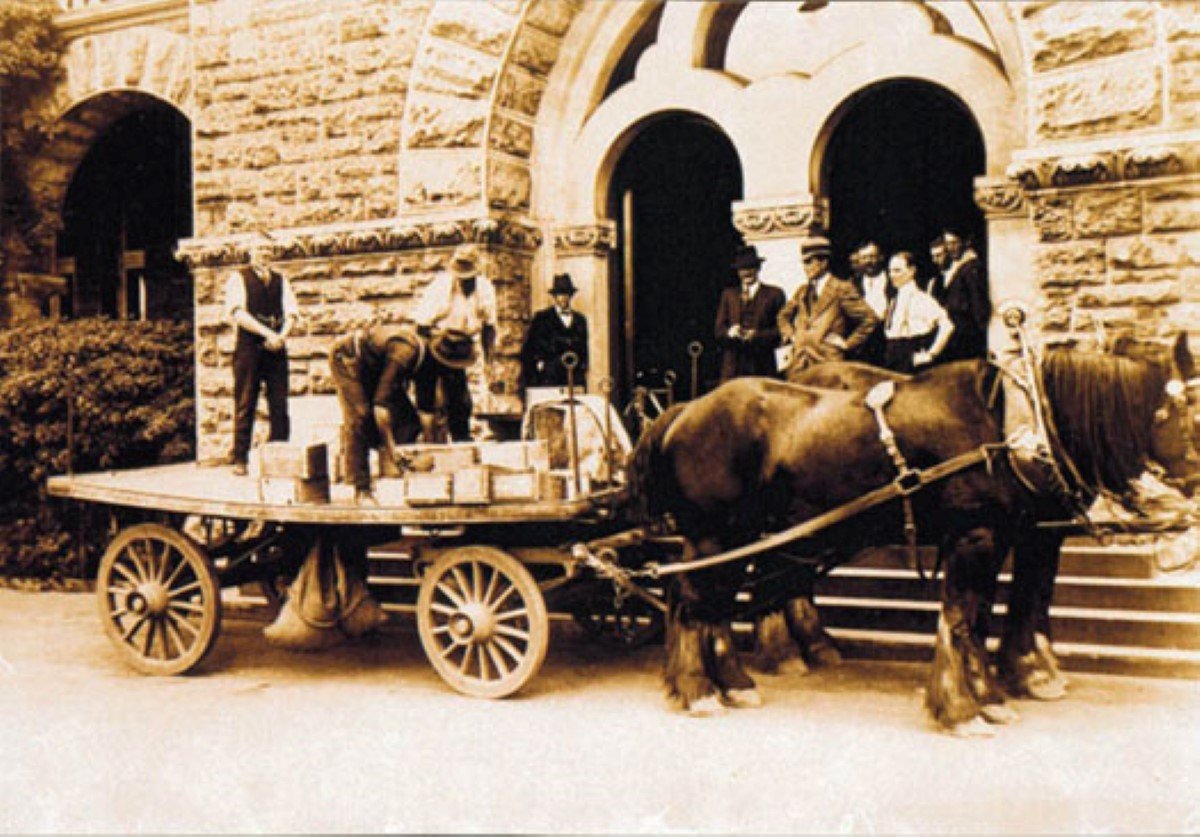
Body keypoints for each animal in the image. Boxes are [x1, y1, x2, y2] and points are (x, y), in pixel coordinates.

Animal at [628, 335, 1200, 733]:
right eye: (1189, 413)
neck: (1008, 426)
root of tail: (686, 408)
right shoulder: (979, 536)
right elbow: (965, 617)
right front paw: (969, 705)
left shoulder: (1019, 534)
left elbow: (1002, 609)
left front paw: (1009, 685)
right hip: (716, 532)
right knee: (697, 600)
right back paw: (701, 689)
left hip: (747, 531)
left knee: (714, 600)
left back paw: (735, 682)